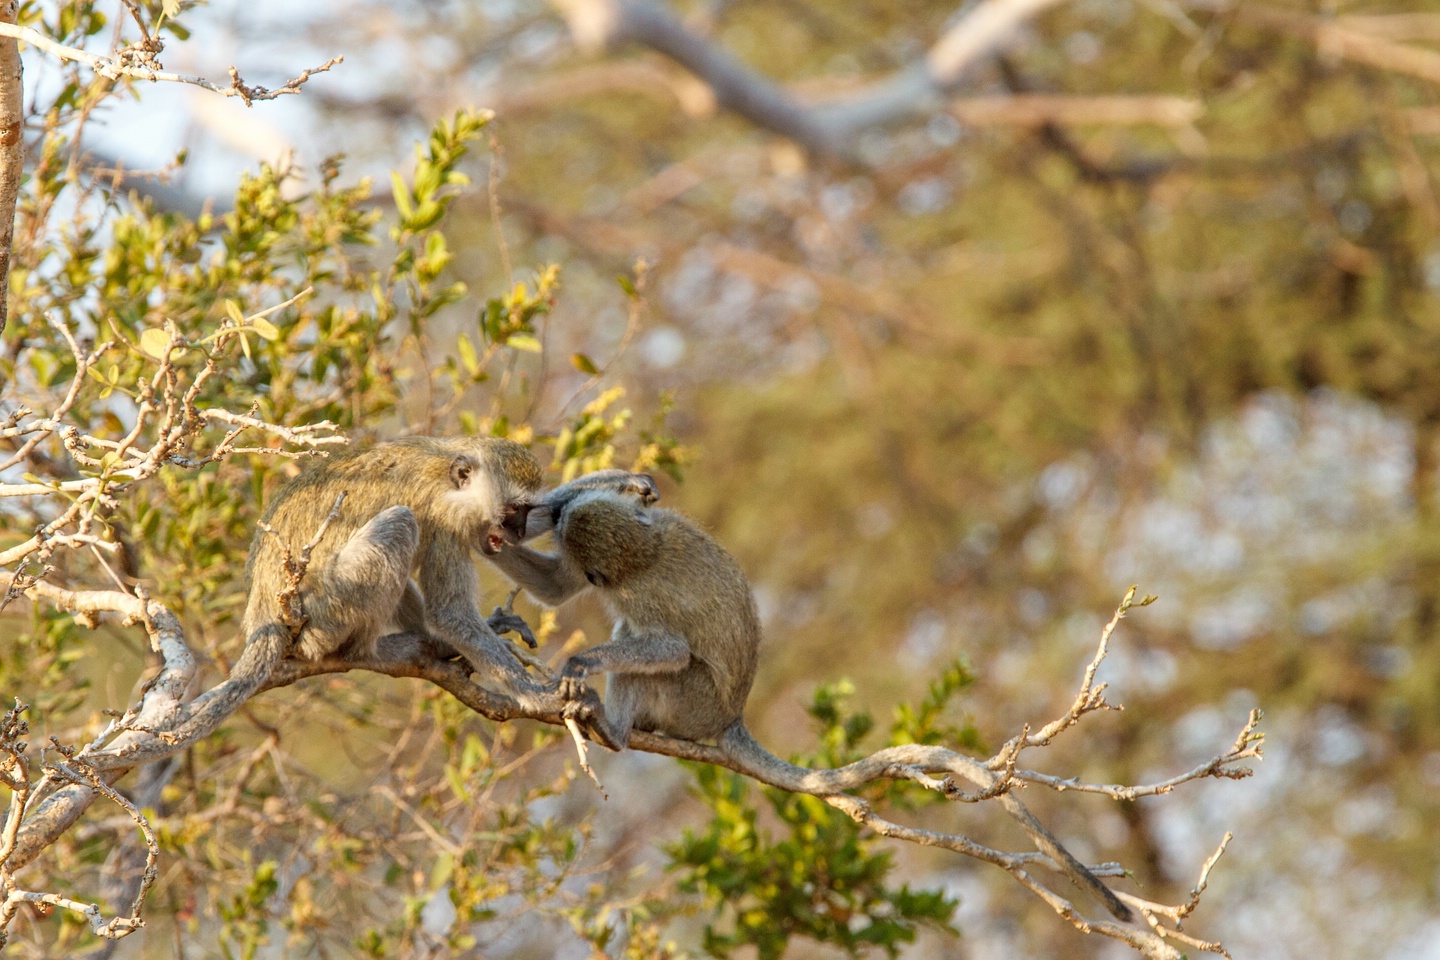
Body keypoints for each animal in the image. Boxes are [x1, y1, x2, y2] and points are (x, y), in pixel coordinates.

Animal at [495, 492, 1134, 926]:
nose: (560, 509)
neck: (646, 548)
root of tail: (730, 719)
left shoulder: (643, 595)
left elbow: (667, 646)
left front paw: (583, 661)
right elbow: (556, 588)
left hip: (690, 705)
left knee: (653, 658)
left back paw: (614, 729)